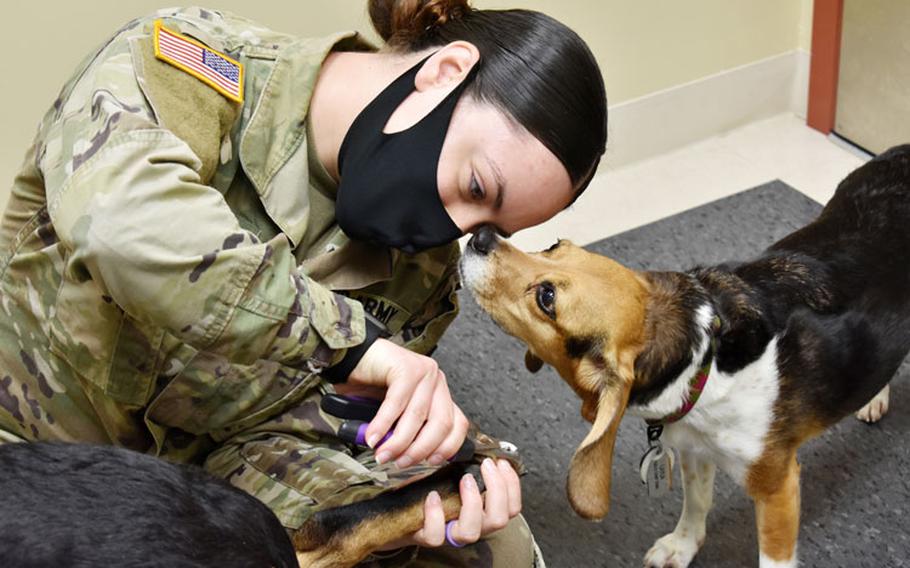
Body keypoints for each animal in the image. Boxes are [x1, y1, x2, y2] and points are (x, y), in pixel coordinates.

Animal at [460, 144, 910, 564]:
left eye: (547, 298)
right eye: (554, 245)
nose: (480, 236)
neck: (705, 359)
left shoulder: (777, 485)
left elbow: (772, 553)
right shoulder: (695, 450)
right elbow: (697, 505)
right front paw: (683, 545)